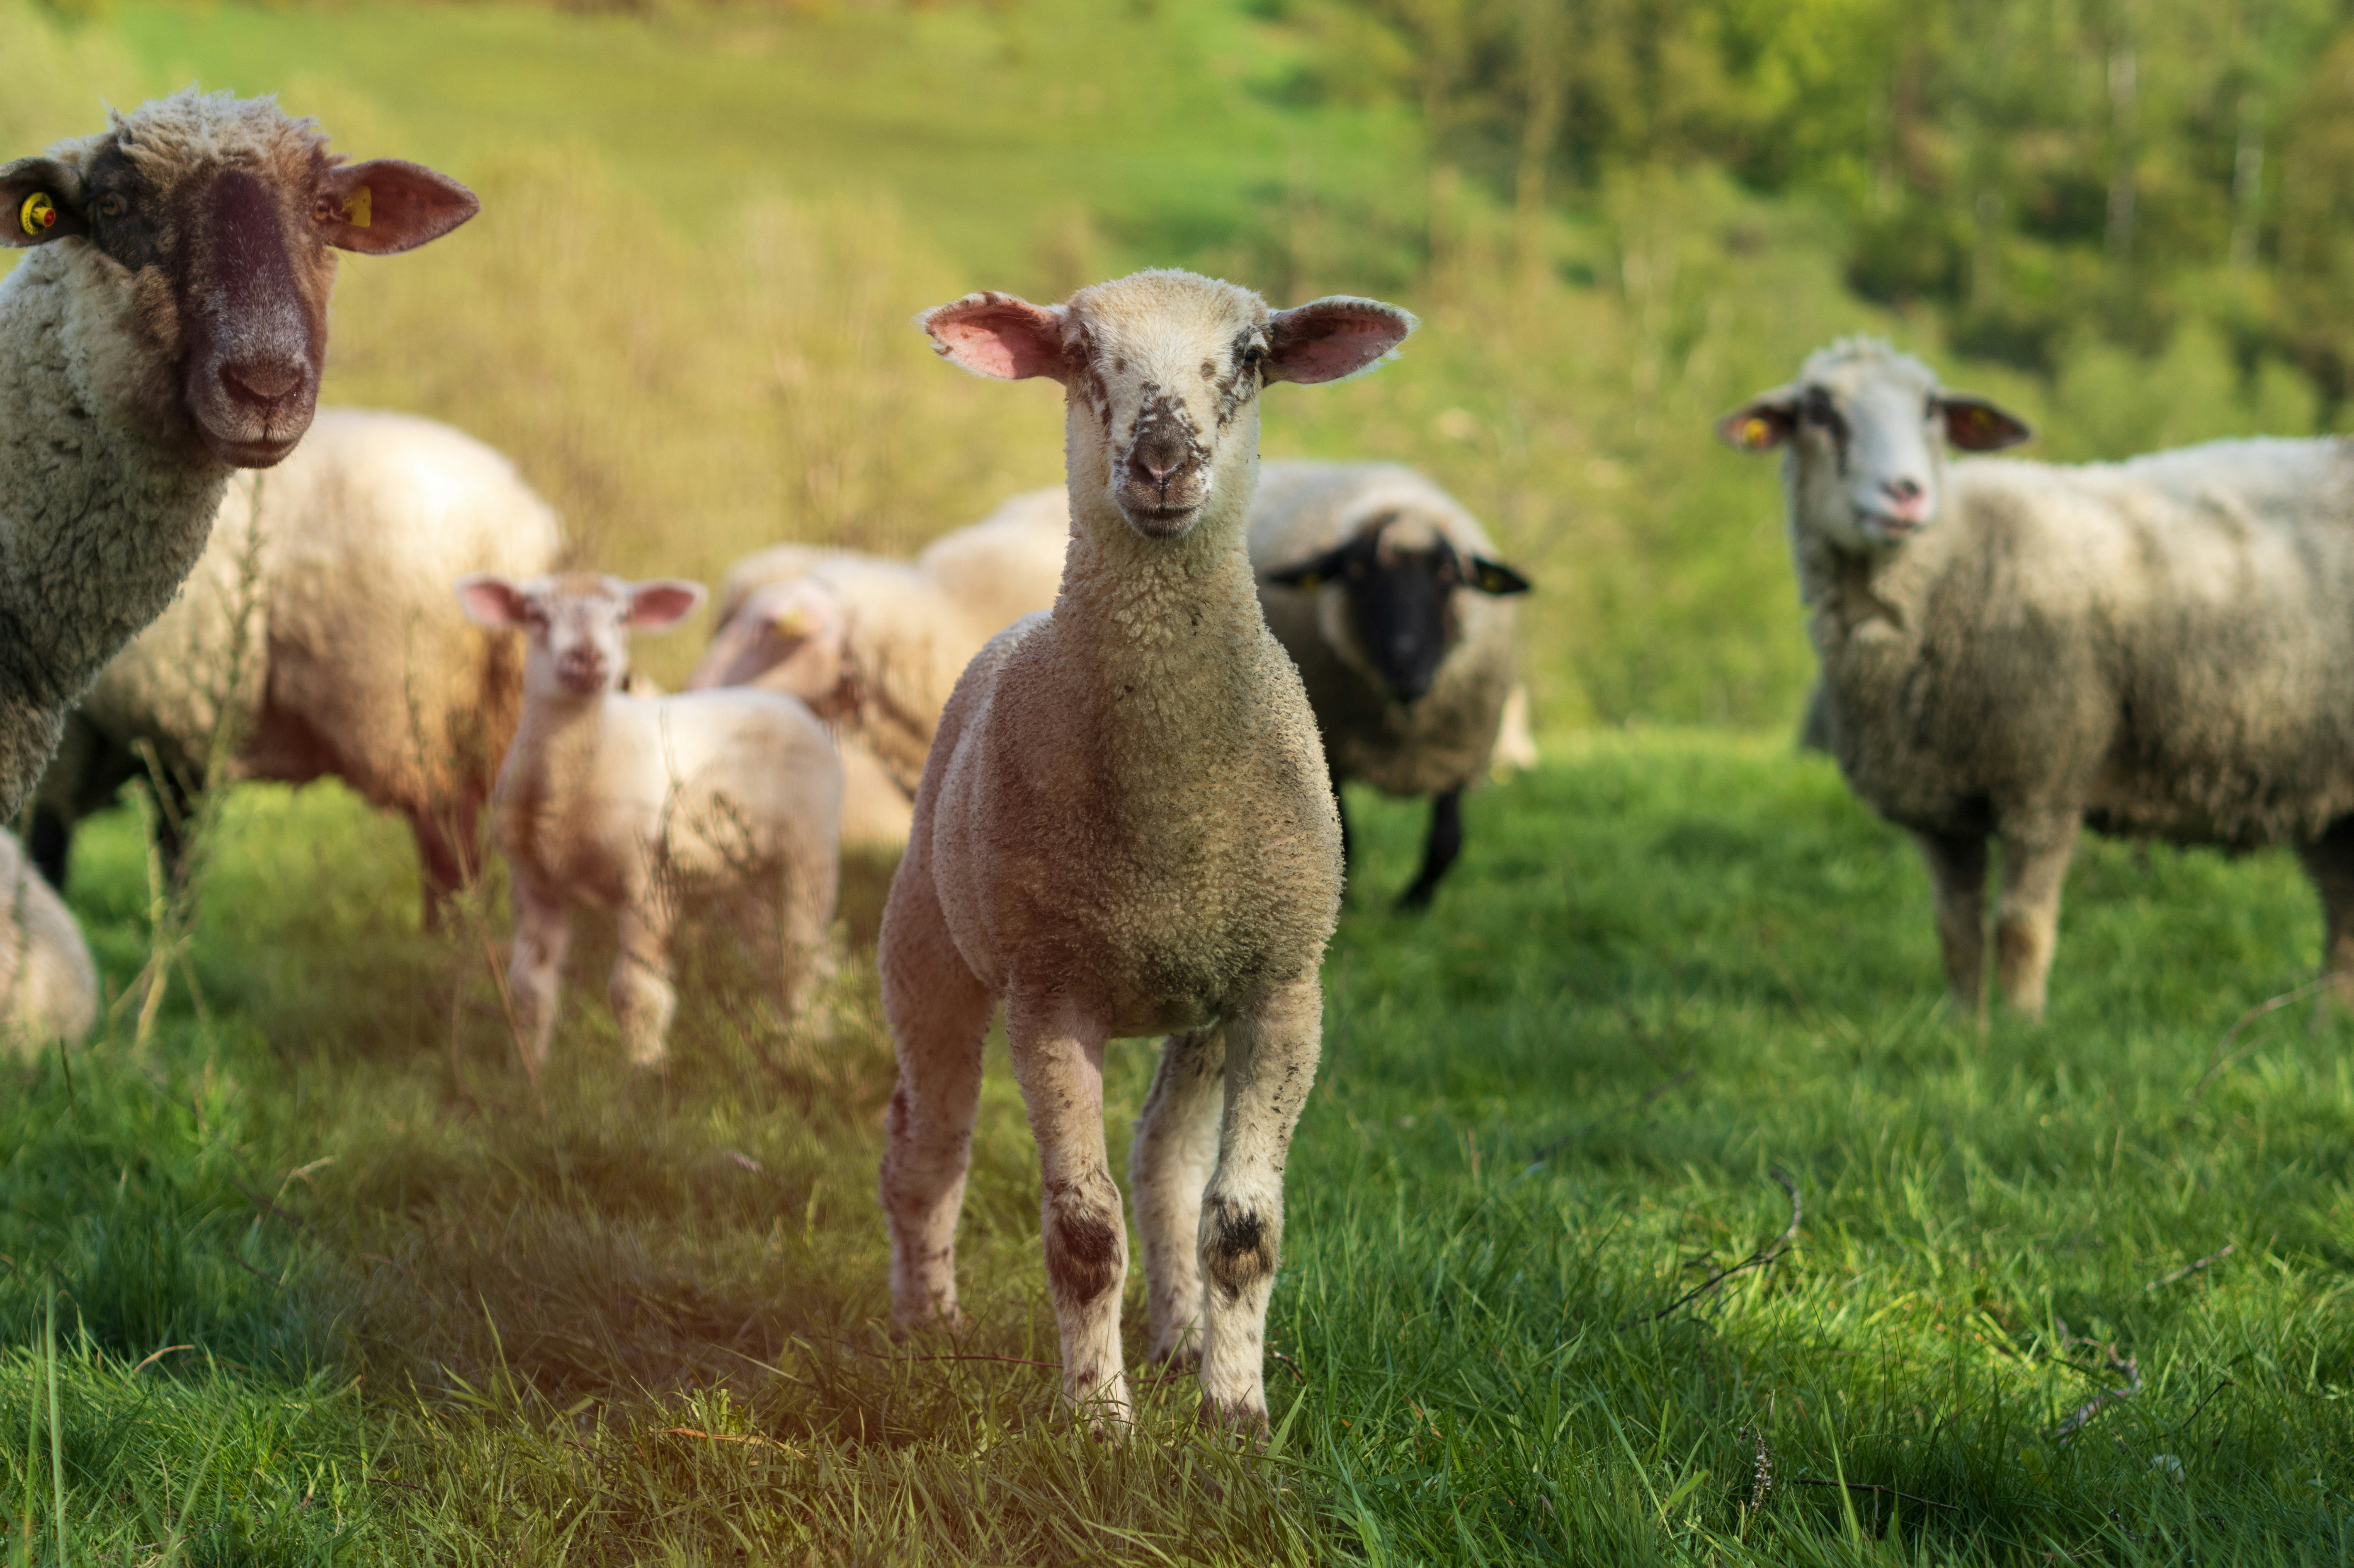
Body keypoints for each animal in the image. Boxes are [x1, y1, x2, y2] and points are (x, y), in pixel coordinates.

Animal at [30, 410, 562, 919]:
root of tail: (516, 537)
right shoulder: (177, 733)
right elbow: (175, 838)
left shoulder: (86, 732)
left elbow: (53, 846)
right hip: (491, 719)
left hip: (408, 713)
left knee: (449, 845)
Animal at [456, 573, 842, 1072]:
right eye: (536, 614)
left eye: (623, 617)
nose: (588, 658)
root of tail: (785, 702)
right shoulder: (534, 883)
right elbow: (528, 992)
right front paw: (528, 1076)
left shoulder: (647, 879)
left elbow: (635, 992)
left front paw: (643, 1074)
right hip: (741, 873)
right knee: (772, 957)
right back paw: (792, 1042)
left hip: (812, 847)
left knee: (805, 955)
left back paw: (805, 1049)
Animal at [881, 270, 1416, 1431]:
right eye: (1081, 354)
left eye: (1254, 355)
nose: (1164, 461)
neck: (1167, 813)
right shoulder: (1050, 995)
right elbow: (1083, 1234)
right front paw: (1098, 1424)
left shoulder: (1281, 983)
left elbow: (1240, 1226)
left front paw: (1236, 1416)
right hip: (927, 951)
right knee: (926, 1143)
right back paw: (927, 1327)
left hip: (1200, 985)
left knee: (1164, 1155)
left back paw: (1179, 1342)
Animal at [1252, 462, 1532, 907]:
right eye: (1357, 571)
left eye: (1448, 573)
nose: (1406, 662)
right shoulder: (1333, 749)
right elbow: (1345, 836)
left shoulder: (1457, 750)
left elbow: (1447, 841)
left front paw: (1414, 904)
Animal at [1722, 335, 2354, 1021]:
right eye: (1820, 412)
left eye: (1930, 409)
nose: (1906, 493)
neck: (1944, 567)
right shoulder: (1938, 807)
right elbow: (1956, 930)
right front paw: (1965, 1029)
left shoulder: (2044, 776)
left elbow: (2018, 926)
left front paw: (2023, 1028)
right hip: (2323, 791)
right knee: (2343, 912)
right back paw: (2327, 1027)